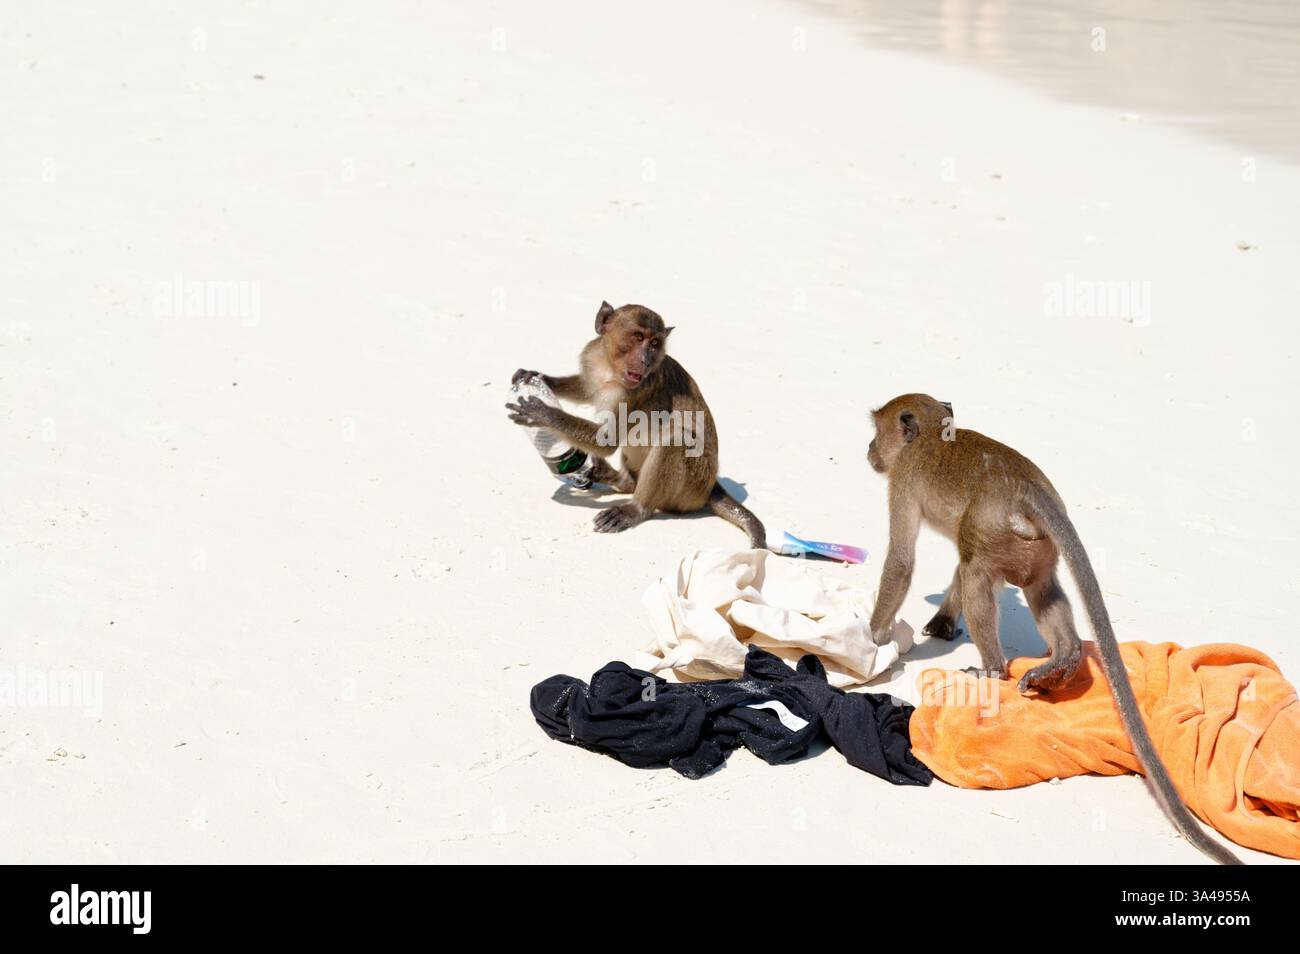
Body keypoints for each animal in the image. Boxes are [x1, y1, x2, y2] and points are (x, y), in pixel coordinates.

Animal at [505, 301, 766, 548]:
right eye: (638, 337)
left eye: (655, 343)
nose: (646, 360)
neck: (610, 369)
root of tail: (712, 486)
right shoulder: (591, 357)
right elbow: (585, 389)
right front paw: (538, 379)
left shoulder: (636, 391)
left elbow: (608, 441)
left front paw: (542, 414)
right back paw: (623, 482)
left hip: (694, 485)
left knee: (677, 440)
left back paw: (637, 508)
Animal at [866, 393, 1240, 865]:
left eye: (877, 434)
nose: (870, 450)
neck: (933, 435)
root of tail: (1029, 490)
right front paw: (940, 620)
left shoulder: (903, 480)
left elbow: (902, 561)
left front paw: (871, 635)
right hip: (1036, 547)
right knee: (1041, 588)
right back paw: (1064, 657)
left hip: (998, 536)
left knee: (976, 574)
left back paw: (992, 669)